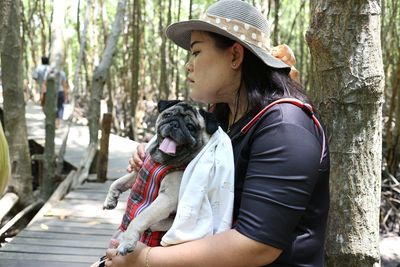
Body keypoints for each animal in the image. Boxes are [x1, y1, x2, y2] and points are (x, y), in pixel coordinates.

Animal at [101, 100, 217, 258]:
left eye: (190, 127)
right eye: (167, 115)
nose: (174, 123)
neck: (160, 160)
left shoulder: (167, 198)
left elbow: (140, 218)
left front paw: (127, 241)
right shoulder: (138, 172)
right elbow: (117, 182)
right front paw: (111, 199)